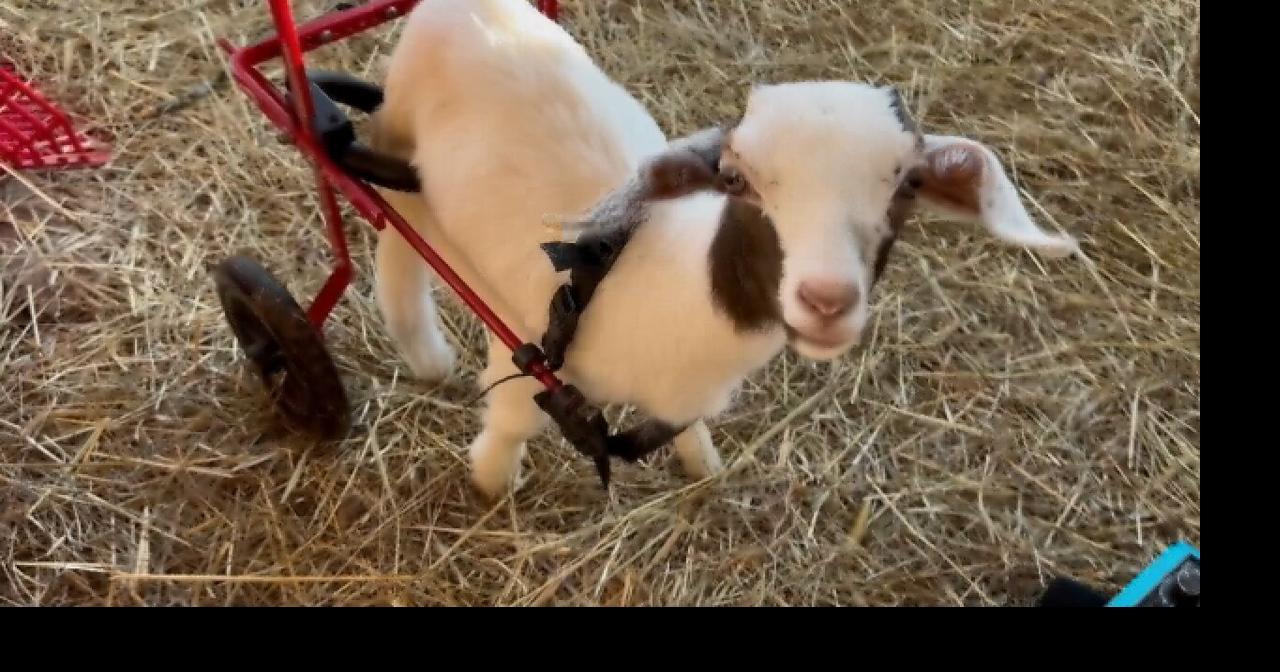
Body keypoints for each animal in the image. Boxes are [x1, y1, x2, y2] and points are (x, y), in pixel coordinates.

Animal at [370, 0, 1079, 497]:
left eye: (907, 184)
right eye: (735, 179)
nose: (827, 299)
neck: (662, 275)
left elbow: (687, 429)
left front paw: (703, 464)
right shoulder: (526, 353)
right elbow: (513, 424)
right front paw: (491, 483)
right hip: (399, 137)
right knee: (396, 237)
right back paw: (425, 353)